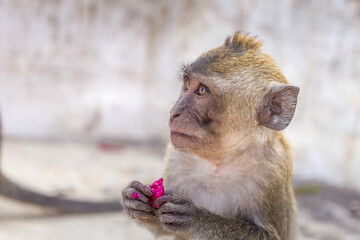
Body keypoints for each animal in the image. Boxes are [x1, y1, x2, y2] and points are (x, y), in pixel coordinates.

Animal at [121, 32, 298, 240]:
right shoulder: (176, 157)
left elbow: (271, 235)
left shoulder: (273, 171)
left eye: (202, 91)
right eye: (187, 84)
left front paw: (197, 219)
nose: (174, 112)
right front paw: (135, 200)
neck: (220, 161)